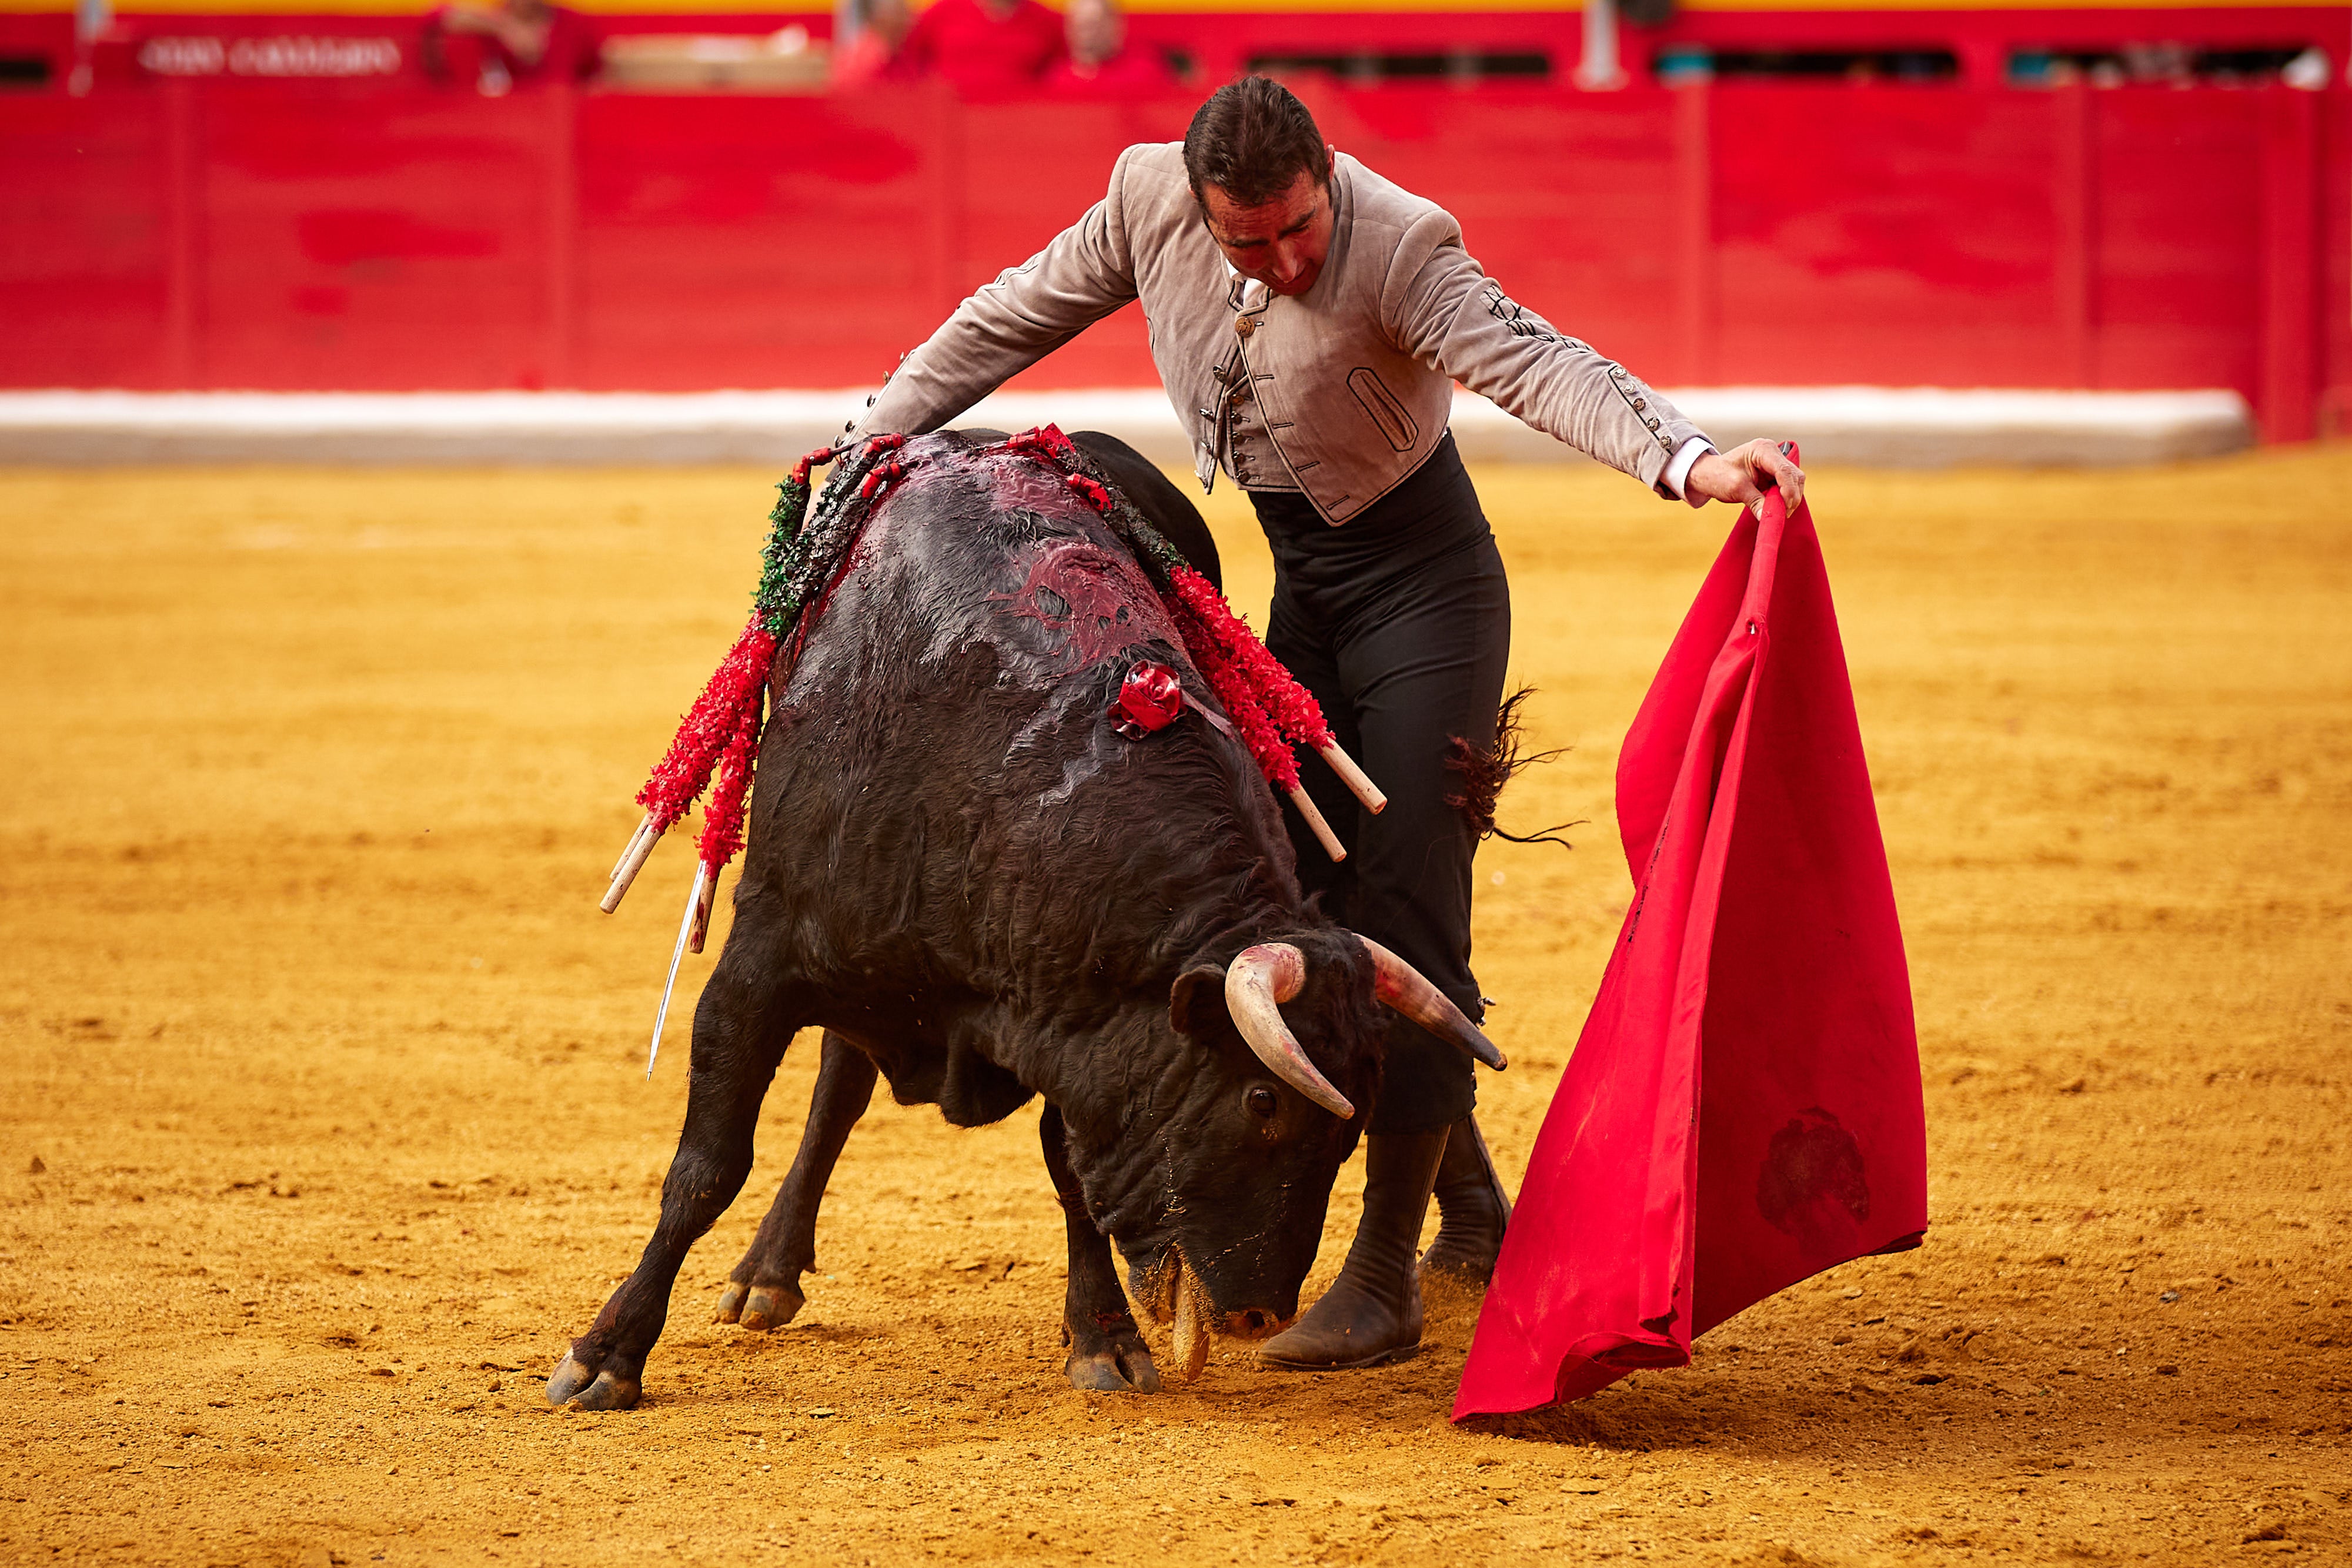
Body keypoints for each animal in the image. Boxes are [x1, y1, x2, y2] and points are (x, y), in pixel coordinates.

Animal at [548, 430, 1496, 1410]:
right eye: (1263, 1099)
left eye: (1351, 1128)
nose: (1258, 1314)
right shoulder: (758, 964)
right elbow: (707, 1163)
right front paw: (607, 1352)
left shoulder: (1064, 1008)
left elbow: (1071, 1162)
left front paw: (1105, 1337)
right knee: (832, 1095)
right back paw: (764, 1273)